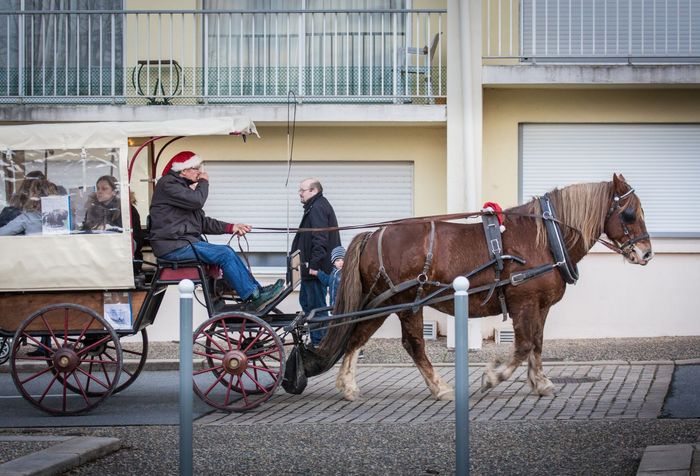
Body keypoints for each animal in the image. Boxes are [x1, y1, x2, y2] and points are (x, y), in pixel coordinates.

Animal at [300, 173, 652, 400]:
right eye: (629, 214)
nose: (646, 252)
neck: (543, 239)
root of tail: (375, 233)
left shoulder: (539, 306)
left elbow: (537, 345)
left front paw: (540, 382)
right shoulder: (524, 302)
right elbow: (524, 346)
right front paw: (492, 377)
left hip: (385, 301)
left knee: (357, 336)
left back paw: (350, 385)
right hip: (404, 302)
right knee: (410, 344)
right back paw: (436, 387)